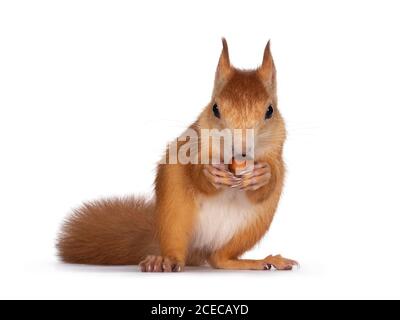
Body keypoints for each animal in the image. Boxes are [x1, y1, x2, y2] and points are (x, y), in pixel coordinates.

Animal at [57, 38, 298, 272]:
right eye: (215, 108)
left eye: (270, 111)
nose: (241, 149)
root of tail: (199, 249)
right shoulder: (192, 144)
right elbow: (196, 173)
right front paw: (211, 172)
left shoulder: (276, 152)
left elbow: (268, 184)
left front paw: (262, 174)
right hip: (174, 215)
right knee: (179, 253)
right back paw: (162, 261)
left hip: (253, 225)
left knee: (220, 259)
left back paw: (260, 261)